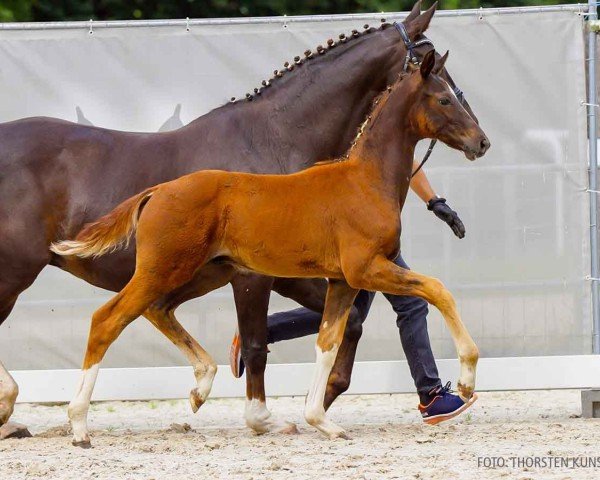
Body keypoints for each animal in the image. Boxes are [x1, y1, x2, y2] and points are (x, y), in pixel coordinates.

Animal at [1, 1, 478, 434]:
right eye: (428, 55)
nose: (481, 140)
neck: (276, 136)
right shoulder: (259, 275)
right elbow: (257, 343)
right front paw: (265, 418)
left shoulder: (307, 272)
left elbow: (343, 328)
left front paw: (320, 404)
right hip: (36, 271)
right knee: (108, 319)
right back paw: (52, 417)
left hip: (191, 272)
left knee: (153, 309)